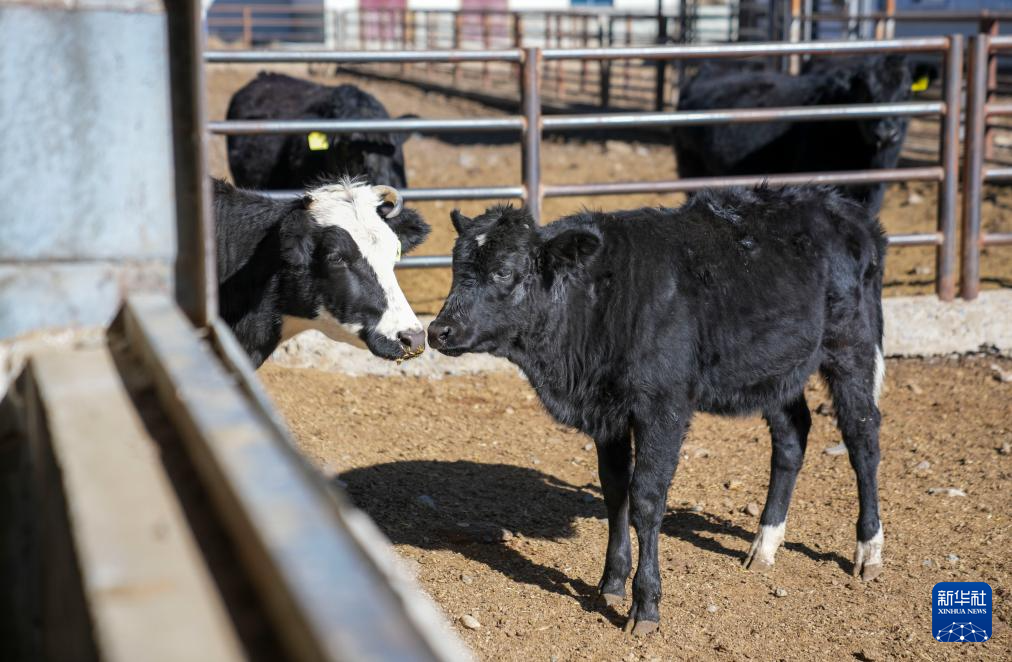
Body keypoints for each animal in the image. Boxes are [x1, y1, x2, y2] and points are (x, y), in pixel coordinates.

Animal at [428, 186, 886, 634]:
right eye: (454, 267)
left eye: (504, 271)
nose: (438, 330)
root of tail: (839, 204)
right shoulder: (607, 413)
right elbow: (615, 490)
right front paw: (611, 582)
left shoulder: (663, 407)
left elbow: (646, 499)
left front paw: (645, 605)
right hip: (776, 368)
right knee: (792, 435)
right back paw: (765, 544)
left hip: (851, 344)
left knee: (862, 436)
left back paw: (868, 550)